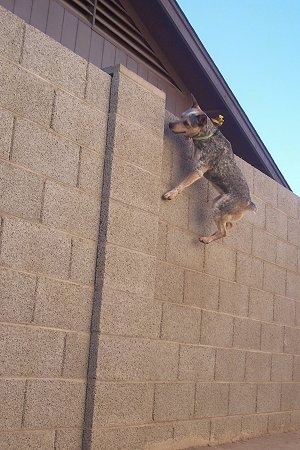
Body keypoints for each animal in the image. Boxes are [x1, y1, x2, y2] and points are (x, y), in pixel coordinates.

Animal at [163, 94, 256, 243]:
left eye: (186, 123)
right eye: (181, 115)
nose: (170, 124)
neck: (207, 136)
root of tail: (248, 203)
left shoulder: (198, 170)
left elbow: (182, 184)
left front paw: (171, 193)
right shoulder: (196, 157)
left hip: (219, 208)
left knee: (224, 232)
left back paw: (206, 239)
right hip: (217, 203)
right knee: (228, 225)